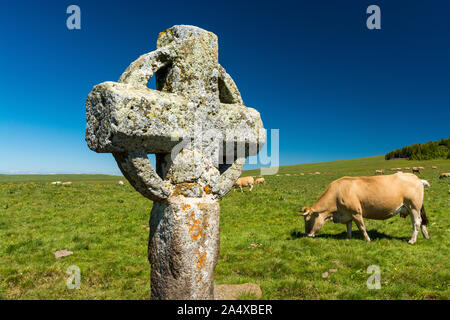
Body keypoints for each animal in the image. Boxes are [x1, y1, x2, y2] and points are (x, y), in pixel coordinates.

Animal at [298, 172, 430, 245]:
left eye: (308, 219)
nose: (307, 235)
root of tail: (417, 178)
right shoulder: (347, 213)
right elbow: (348, 226)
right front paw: (348, 238)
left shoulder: (356, 212)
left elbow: (361, 227)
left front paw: (368, 239)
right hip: (413, 208)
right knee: (422, 222)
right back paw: (426, 236)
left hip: (413, 206)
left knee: (416, 222)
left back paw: (412, 240)